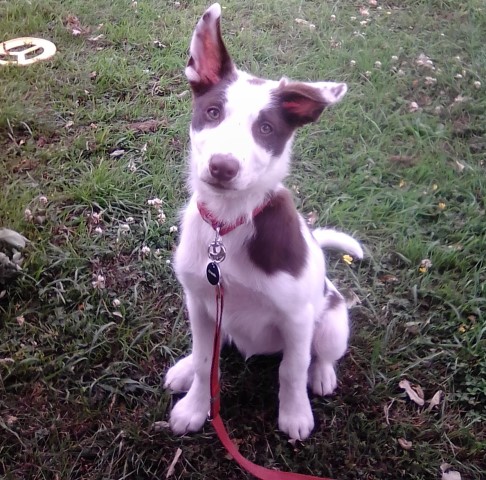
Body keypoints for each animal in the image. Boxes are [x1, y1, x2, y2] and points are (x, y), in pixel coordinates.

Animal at [165, 1, 362, 440]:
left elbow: (292, 369)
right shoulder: (200, 303)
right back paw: (183, 369)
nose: (222, 167)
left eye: (266, 129)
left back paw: (322, 375)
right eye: (212, 113)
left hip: (331, 320)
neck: (227, 225)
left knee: (320, 354)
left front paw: (295, 414)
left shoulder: (297, 318)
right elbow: (205, 361)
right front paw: (195, 406)